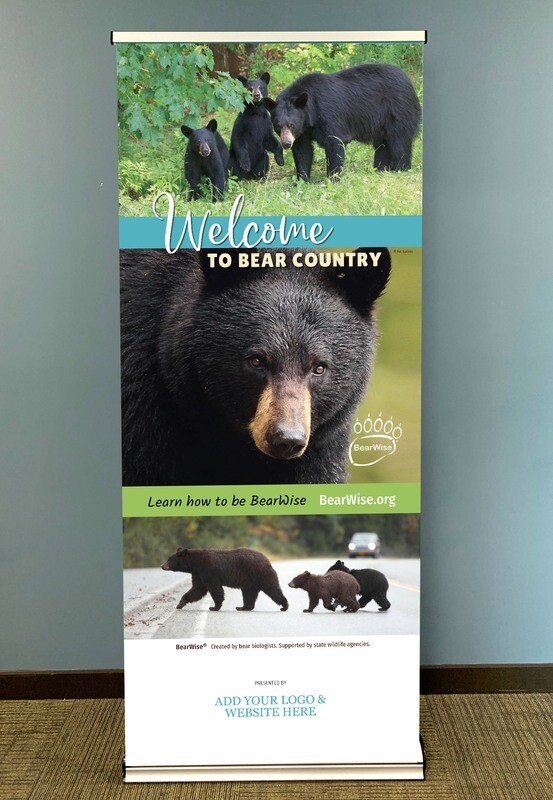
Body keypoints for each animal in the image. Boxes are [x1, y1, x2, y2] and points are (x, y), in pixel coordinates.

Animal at [263, 63, 421, 180]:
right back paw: (380, 168)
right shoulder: (304, 130)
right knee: (382, 145)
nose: (286, 143)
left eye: (291, 125)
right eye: (278, 126)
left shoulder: (329, 115)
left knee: (399, 142)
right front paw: (302, 179)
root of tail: (409, 82)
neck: (311, 115)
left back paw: (400, 169)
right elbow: (303, 151)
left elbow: (335, 143)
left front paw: (332, 178)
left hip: (399, 111)